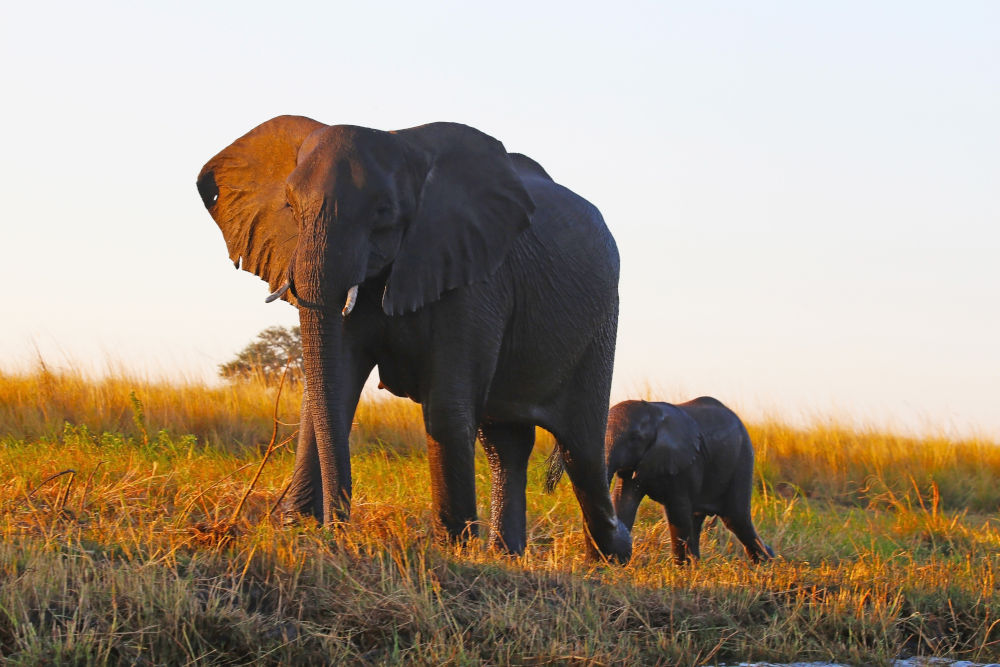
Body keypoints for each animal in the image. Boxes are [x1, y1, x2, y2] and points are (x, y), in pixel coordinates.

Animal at [196, 116, 628, 564]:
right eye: (289, 207)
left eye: (384, 212)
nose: (340, 530)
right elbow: (334, 388)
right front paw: (294, 530)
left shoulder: (473, 273)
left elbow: (446, 406)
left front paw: (452, 548)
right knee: (506, 442)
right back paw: (507, 556)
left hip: (600, 324)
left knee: (581, 449)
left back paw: (613, 553)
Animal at [600, 400, 772, 568]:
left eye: (635, 438)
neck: (654, 413)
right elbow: (624, 502)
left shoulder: (685, 464)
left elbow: (678, 512)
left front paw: (680, 569)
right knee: (699, 518)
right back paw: (696, 565)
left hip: (742, 459)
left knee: (736, 518)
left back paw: (766, 563)